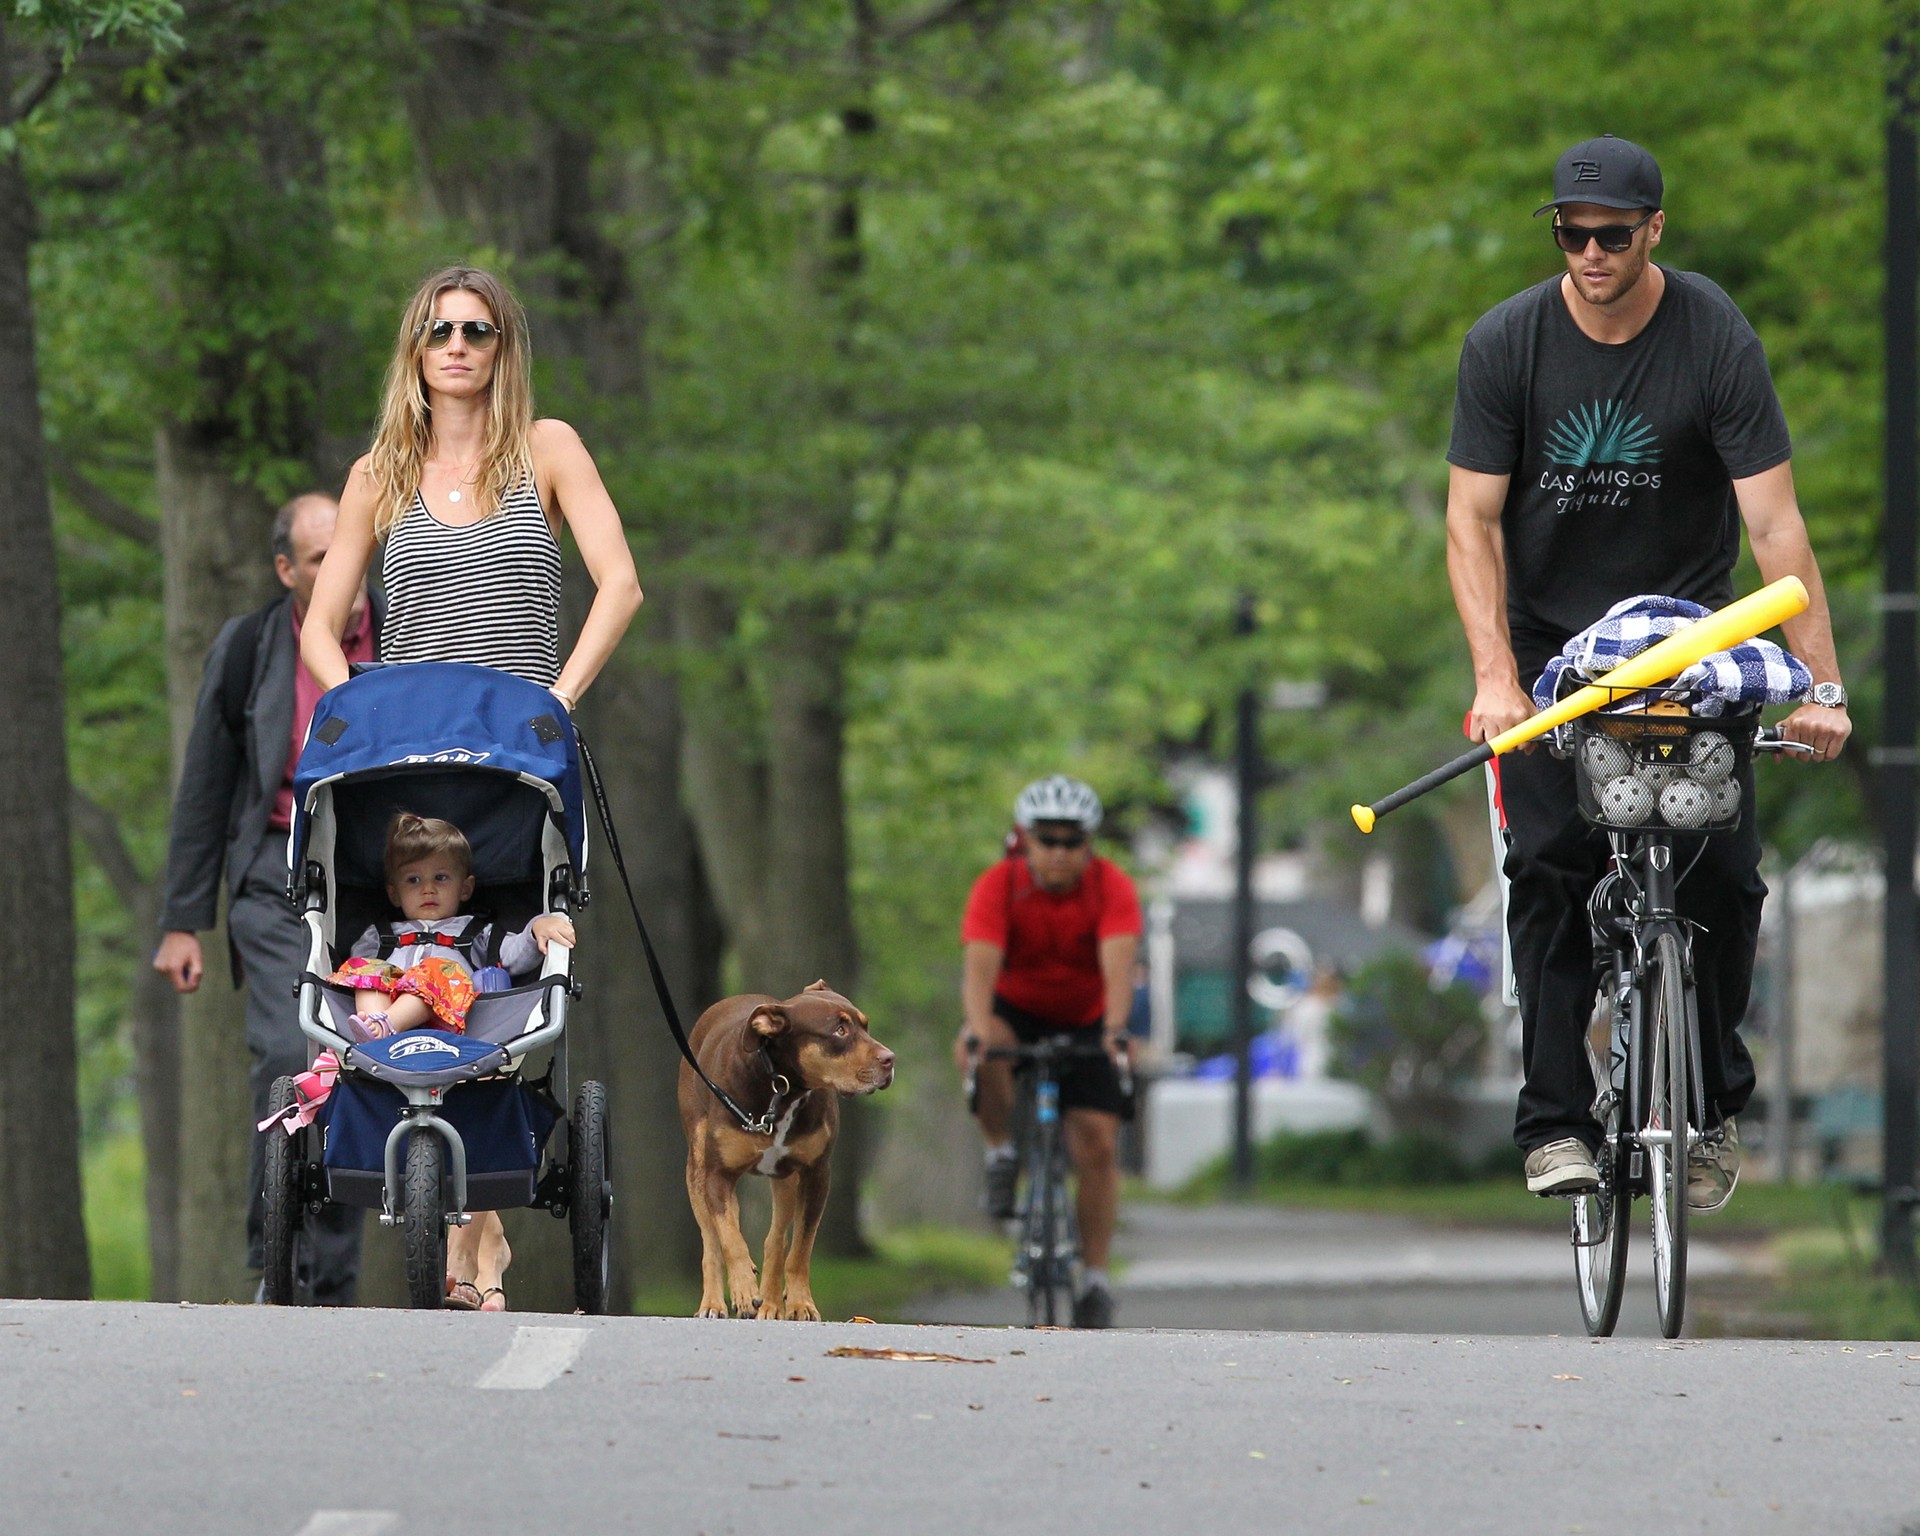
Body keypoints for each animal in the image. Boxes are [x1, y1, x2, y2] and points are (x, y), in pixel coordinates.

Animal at [679, 983, 894, 1320]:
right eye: (840, 1030)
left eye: (865, 1025)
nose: (890, 1059)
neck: (783, 1089)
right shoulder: (718, 1175)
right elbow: (730, 1239)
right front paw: (743, 1289)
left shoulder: (816, 1175)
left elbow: (800, 1247)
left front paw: (800, 1303)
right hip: (696, 1168)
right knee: (712, 1240)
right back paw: (714, 1303)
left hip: (785, 1180)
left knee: (777, 1239)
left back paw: (769, 1304)